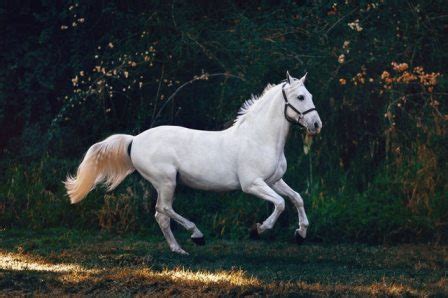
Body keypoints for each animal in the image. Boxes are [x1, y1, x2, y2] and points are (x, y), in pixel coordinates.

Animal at [64, 71, 322, 254]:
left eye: (310, 95)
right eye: (300, 97)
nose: (317, 125)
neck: (259, 138)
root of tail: (134, 140)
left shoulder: (274, 180)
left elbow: (296, 198)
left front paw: (301, 234)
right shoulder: (252, 184)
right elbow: (280, 203)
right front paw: (259, 229)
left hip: (165, 184)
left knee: (161, 215)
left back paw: (178, 249)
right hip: (166, 181)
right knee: (164, 209)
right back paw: (197, 235)